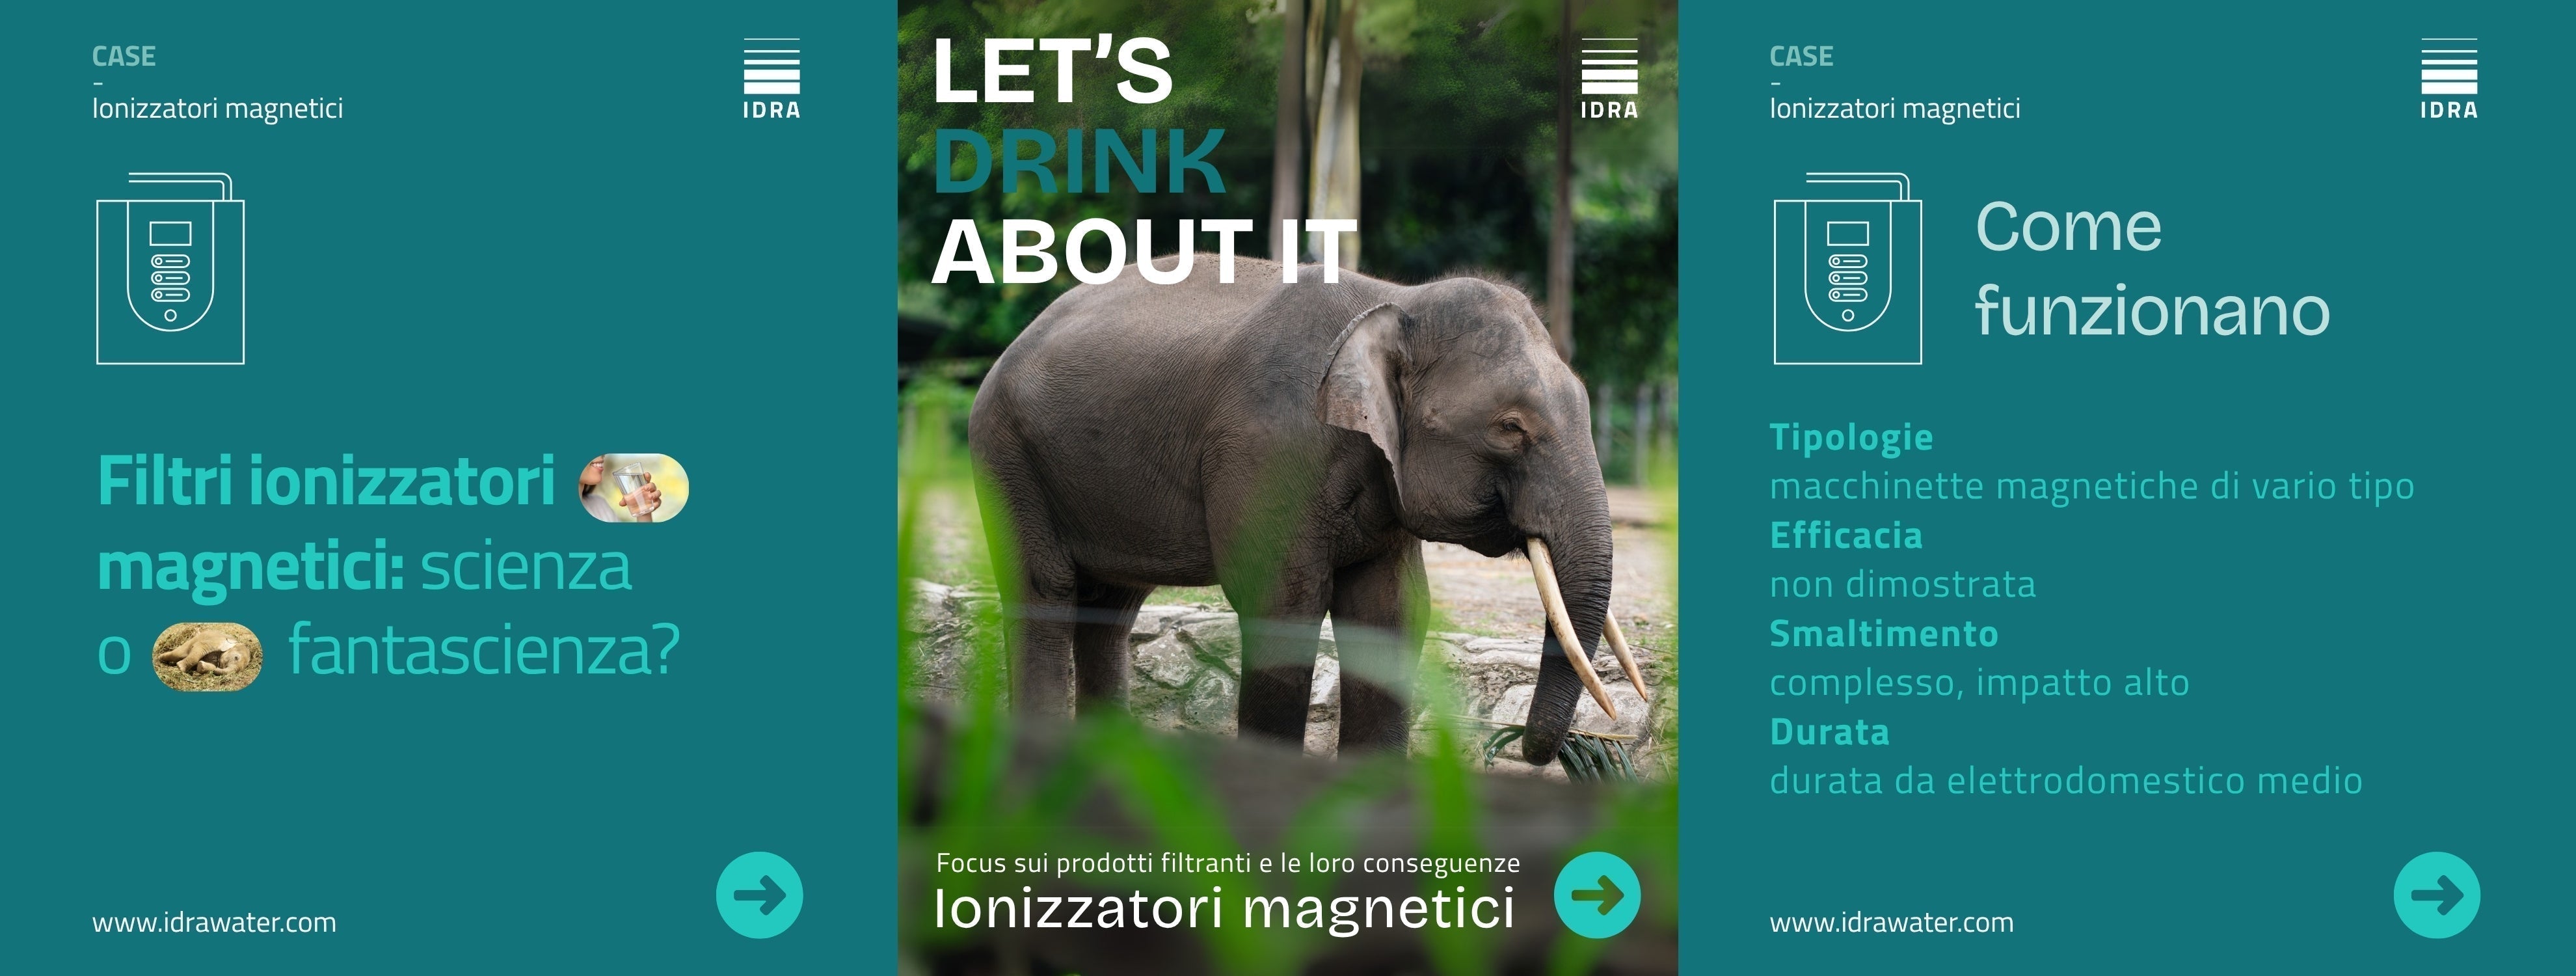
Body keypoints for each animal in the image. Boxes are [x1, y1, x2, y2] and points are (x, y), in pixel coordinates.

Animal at [969, 258, 1634, 765]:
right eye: (1510, 428)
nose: (1535, 751)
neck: (1397, 302)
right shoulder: (1271, 449)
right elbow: (1282, 602)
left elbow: (1392, 611)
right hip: (1007, 457)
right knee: (1045, 590)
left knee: (1111, 607)